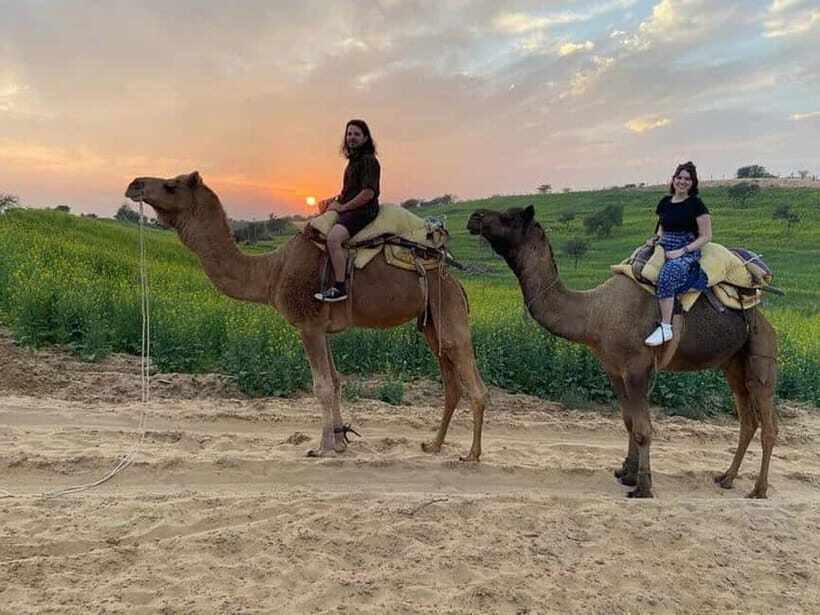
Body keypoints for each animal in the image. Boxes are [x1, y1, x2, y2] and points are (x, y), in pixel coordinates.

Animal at [125, 172, 487, 459]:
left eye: (171, 185)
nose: (134, 184)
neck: (272, 272)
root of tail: (456, 280)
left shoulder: (308, 324)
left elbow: (322, 385)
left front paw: (322, 448)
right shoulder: (322, 327)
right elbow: (337, 381)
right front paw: (340, 442)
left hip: (448, 308)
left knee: (472, 379)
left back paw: (471, 455)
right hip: (431, 321)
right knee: (450, 382)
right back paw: (433, 445)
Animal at [468, 205, 778, 498]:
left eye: (510, 218)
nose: (475, 217)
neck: (595, 313)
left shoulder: (637, 369)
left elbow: (643, 429)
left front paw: (642, 486)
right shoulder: (614, 369)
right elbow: (628, 422)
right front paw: (627, 472)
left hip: (761, 352)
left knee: (766, 420)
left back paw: (758, 489)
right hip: (733, 364)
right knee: (747, 421)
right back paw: (726, 478)